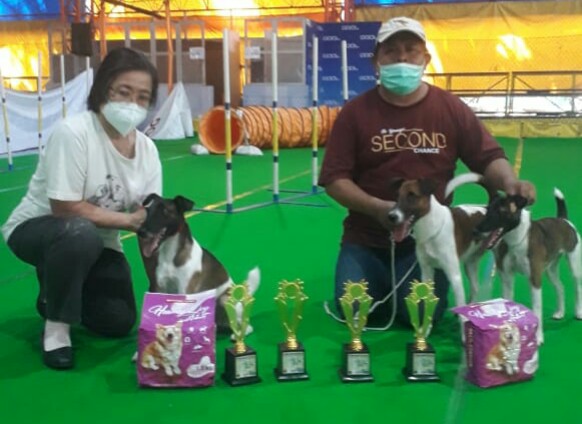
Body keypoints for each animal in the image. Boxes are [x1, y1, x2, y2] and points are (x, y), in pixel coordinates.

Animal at [138, 193, 262, 334]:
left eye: (164, 212)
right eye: (148, 210)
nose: (140, 231)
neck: (170, 255)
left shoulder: (185, 292)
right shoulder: (160, 288)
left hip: (225, 300)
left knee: (246, 327)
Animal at [474, 189, 582, 344]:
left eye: (501, 211)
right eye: (487, 210)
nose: (476, 230)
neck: (517, 240)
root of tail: (563, 219)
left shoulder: (535, 279)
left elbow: (536, 310)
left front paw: (538, 338)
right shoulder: (507, 279)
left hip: (574, 265)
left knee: (577, 287)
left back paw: (579, 312)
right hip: (550, 270)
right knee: (560, 287)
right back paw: (560, 312)